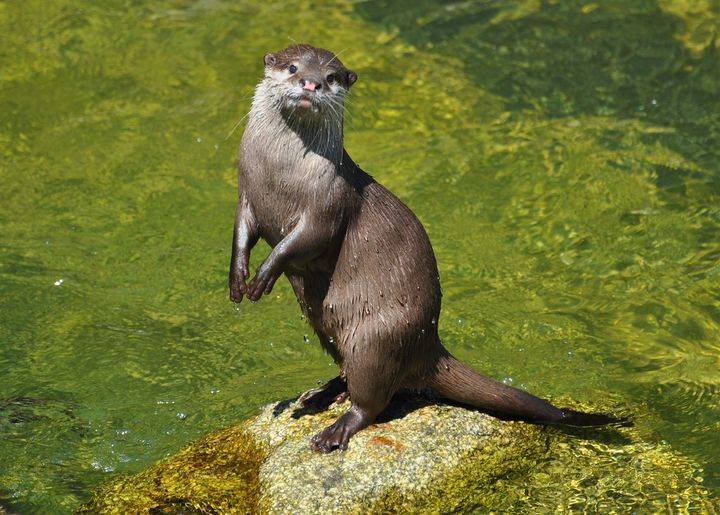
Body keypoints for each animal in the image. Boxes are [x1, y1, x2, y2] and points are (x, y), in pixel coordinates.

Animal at [228, 45, 620, 456]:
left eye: (331, 77)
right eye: (292, 67)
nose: (311, 83)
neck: (280, 174)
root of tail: (427, 344)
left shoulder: (328, 202)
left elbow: (303, 241)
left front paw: (263, 277)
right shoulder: (247, 194)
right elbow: (242, 231)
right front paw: (238, 279)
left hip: (375, 338)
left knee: (371, 399)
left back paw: (335, 430)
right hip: (329, 328)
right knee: (347, 370)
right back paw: (320, 394)